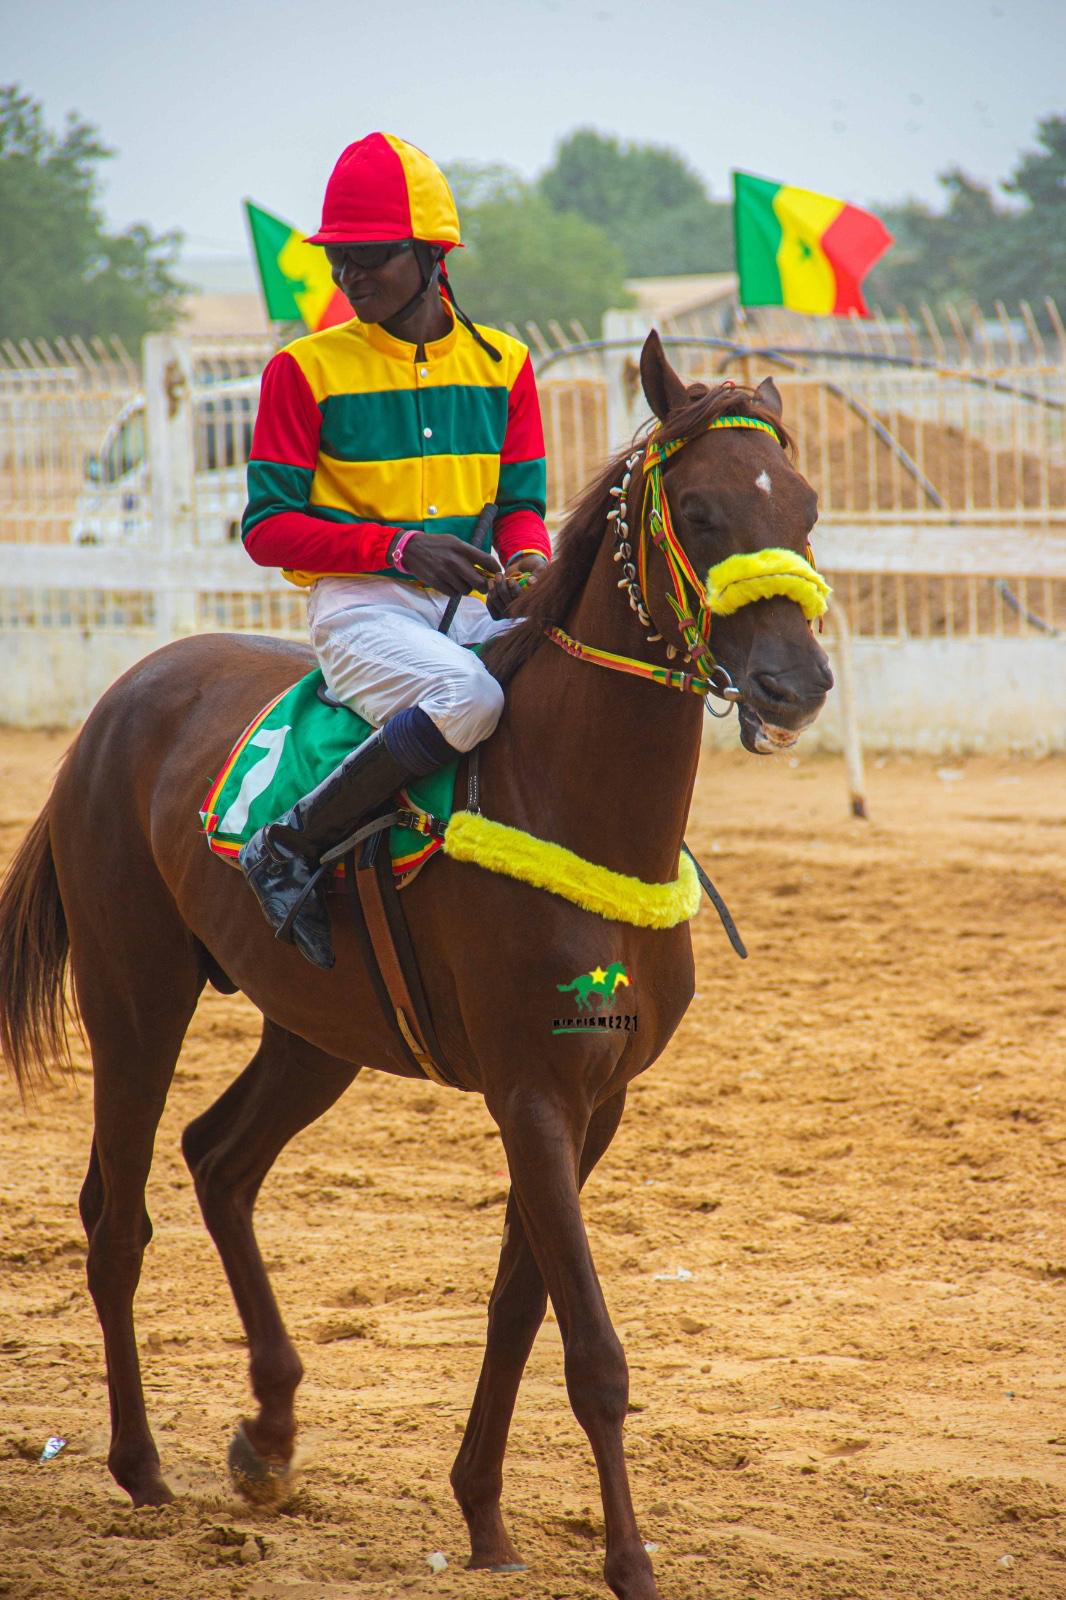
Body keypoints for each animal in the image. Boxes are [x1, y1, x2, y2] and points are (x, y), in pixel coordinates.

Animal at [0, 333, 832, 1600]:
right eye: (698, 509)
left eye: (806, 506)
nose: (798, 683)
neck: (576, 801)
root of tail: (121, 698)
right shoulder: (530, 1090)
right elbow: (590, 1345)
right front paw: (630, 1558)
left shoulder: (597, 1102)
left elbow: (519, 1306)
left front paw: (483, 1514)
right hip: (133, 994)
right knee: (117, 1214)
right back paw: (140, 1463)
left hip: (315, 1029)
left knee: (219, 1162)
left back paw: (269, 1435)